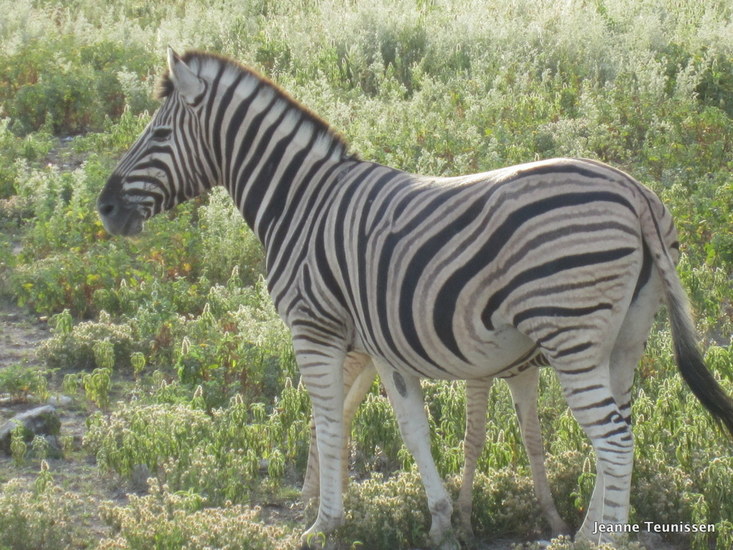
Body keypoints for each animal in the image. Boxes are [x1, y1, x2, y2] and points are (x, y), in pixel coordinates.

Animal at [97, 49, 733, 548]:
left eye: (158, 135)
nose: (103, 207)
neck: (300, 203)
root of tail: (636, 193)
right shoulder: (380, 344)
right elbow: (410, 428)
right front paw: (442, 521)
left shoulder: (313, 327)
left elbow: (327, 420)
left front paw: (324, 523)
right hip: (624, 336)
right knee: (621, 427)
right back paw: (582, 534)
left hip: (570, 330)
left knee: (614, 440)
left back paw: (598, 543)